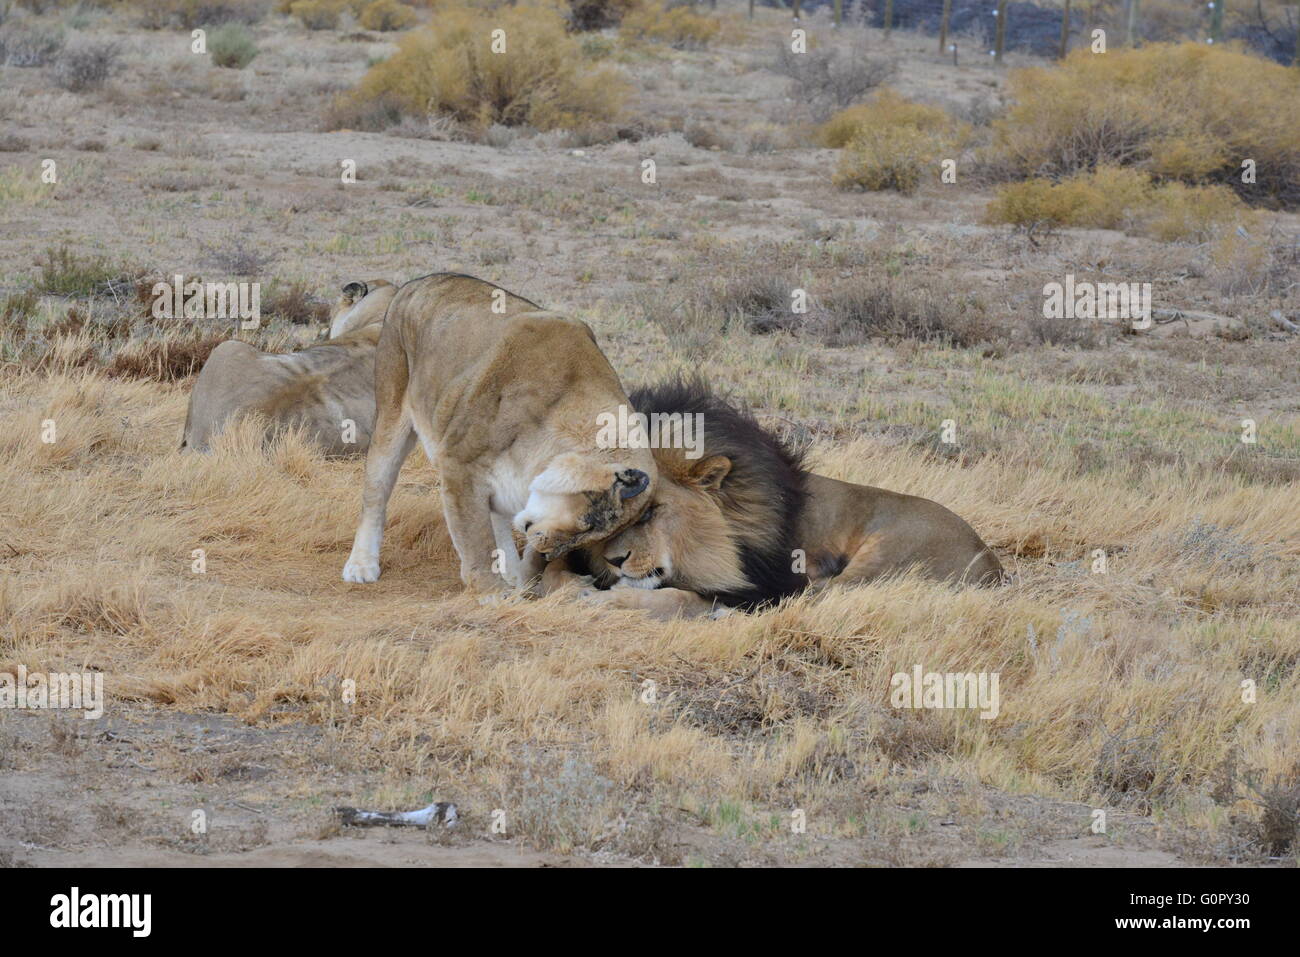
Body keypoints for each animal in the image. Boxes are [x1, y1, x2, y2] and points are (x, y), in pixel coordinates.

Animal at [340, 272, 656, 598]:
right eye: (586, 526)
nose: (549, 553)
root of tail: (416, 281)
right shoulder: (457, 463)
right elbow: (476, 538)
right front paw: (491, 591)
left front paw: (519, 580)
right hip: (391, 415)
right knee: (375, 494)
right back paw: (361, 565)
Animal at [543, 378, 1004, 618]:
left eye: (653, 511)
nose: (614, 560)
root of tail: (993, 564)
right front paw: (573, 584)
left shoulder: (765, 583)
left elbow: (682, 597)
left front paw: (612, 599)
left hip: (884, 554)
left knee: (818, 598)